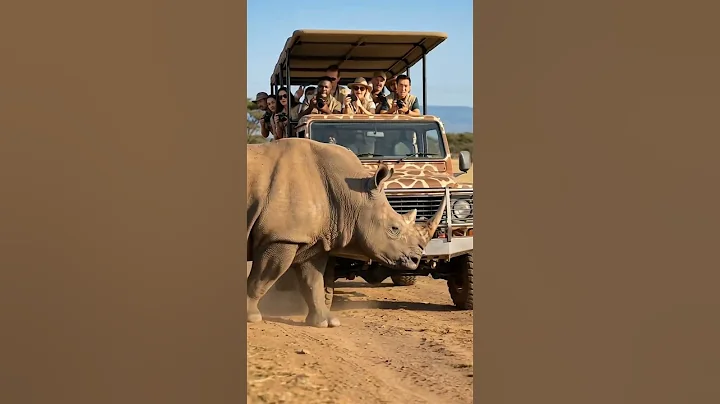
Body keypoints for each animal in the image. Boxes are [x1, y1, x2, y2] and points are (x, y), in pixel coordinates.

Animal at [247, 138, 446, 328]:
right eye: (394, 229)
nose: (416, 260)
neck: (351, 197)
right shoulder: (280, 238)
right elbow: (262, 279)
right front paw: (251, 317)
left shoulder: (314, 241)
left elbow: (313, 282)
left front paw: (325, 323)